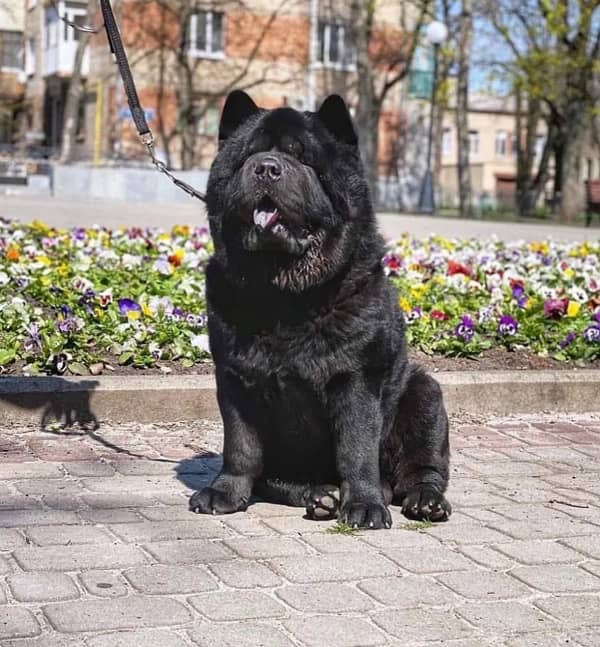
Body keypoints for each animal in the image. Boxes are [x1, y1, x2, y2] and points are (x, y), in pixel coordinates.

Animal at [189, 88, 450, 528]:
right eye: (249, 155)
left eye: (303, 159)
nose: (266, 168)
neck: (285, 294)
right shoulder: (235, 380)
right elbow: (240, 446)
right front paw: (224, 493)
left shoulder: (355, 379)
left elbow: (357, 449)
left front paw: (364, 505)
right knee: (275, 478)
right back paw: (321, 495)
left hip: (423, 395)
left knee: (422, 468)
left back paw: (422, 500)